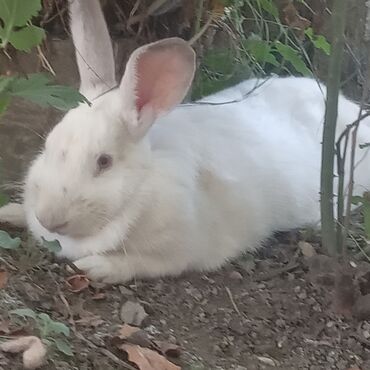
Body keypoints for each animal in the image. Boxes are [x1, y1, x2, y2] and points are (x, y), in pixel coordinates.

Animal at [0, 0, 370, 284]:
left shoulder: (180, 252)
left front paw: (97, 266)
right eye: (48, 146)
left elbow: (144, 263)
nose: (49, 218)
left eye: (103, 162)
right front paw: (12, 212)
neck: (140, 187)